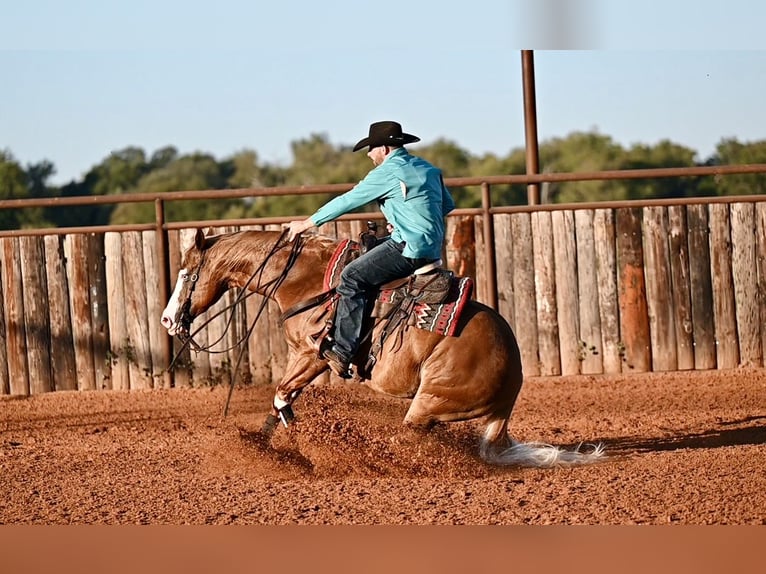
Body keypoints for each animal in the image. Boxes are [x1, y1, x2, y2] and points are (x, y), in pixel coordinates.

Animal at [161, 228, 604, 467]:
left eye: (187, 274)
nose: (166, 320)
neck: (305, 281)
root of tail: (513, 378)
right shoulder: (306, 359)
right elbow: (281, 402)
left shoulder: (311, 355)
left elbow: (282, 396)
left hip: (429, 404)